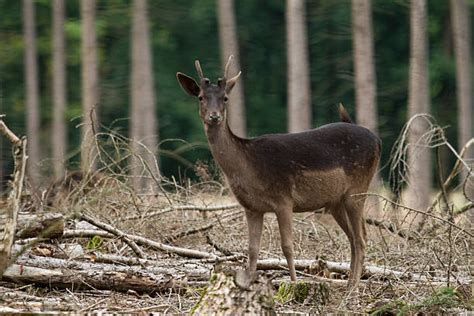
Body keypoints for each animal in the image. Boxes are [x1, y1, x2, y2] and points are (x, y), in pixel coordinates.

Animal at [176, 55, 380, 288]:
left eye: (225, 98)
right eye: (201, 97)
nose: (214, 116)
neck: (248, 168)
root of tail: (377, 140)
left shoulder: (283, 199)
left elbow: (287, 247)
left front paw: (293, 283)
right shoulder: (252, 208)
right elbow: (252, 250)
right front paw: (247, 284)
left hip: (358, 188)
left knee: (361, 238)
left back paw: (353, 287)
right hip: (336, 201)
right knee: (354, 238)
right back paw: (349, 284)